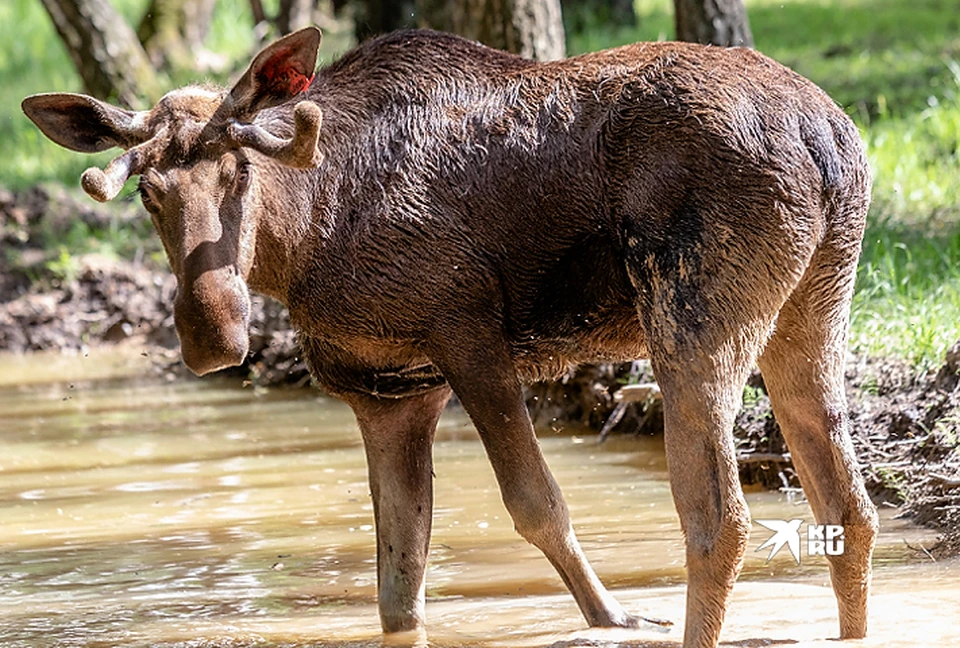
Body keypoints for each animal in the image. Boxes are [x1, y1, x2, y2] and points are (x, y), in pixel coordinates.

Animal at [22, 26, 876, 648]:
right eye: (147, 193)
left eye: (240, 173)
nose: (213, 336)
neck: (303, 239)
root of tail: (825, 139)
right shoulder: (388, 393)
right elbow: (399, 583)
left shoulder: (468, 340)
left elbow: (537, 506)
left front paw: (619, 618)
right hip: (814, 311)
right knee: (848, 508)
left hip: (691, 321)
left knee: (717, 521)